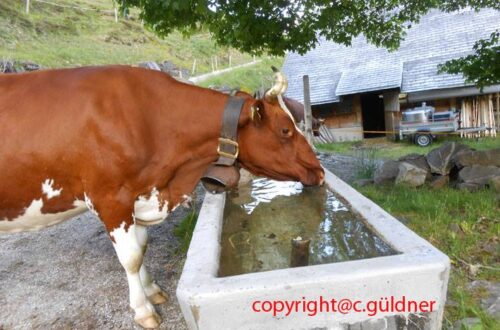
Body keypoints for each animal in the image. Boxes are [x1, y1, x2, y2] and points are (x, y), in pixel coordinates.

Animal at [0, 65, 324, 328]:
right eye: (285, 129)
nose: (319, 170)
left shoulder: (141, 194)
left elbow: (142, 248)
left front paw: (153, 291)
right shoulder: (110, 199)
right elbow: (131, 257)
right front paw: (143, 311)